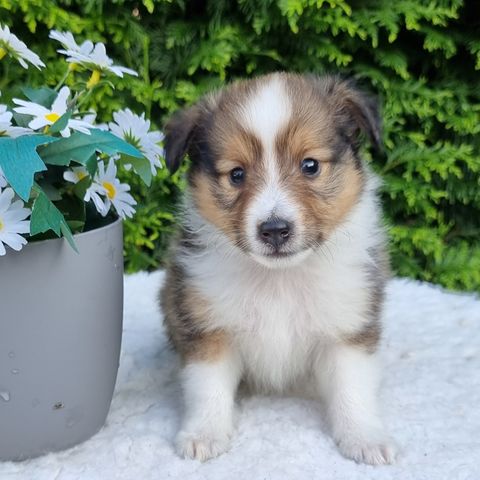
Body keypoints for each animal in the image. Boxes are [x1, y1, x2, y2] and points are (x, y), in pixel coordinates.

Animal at [159, 72, 396, 464]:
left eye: (310, 165)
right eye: (236, 174)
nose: (274, 230)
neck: (279, 278)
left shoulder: (347, 327)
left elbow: (352, 390)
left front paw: (365, 438)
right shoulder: (209, 328)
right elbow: (207, 389)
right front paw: (204, 435)